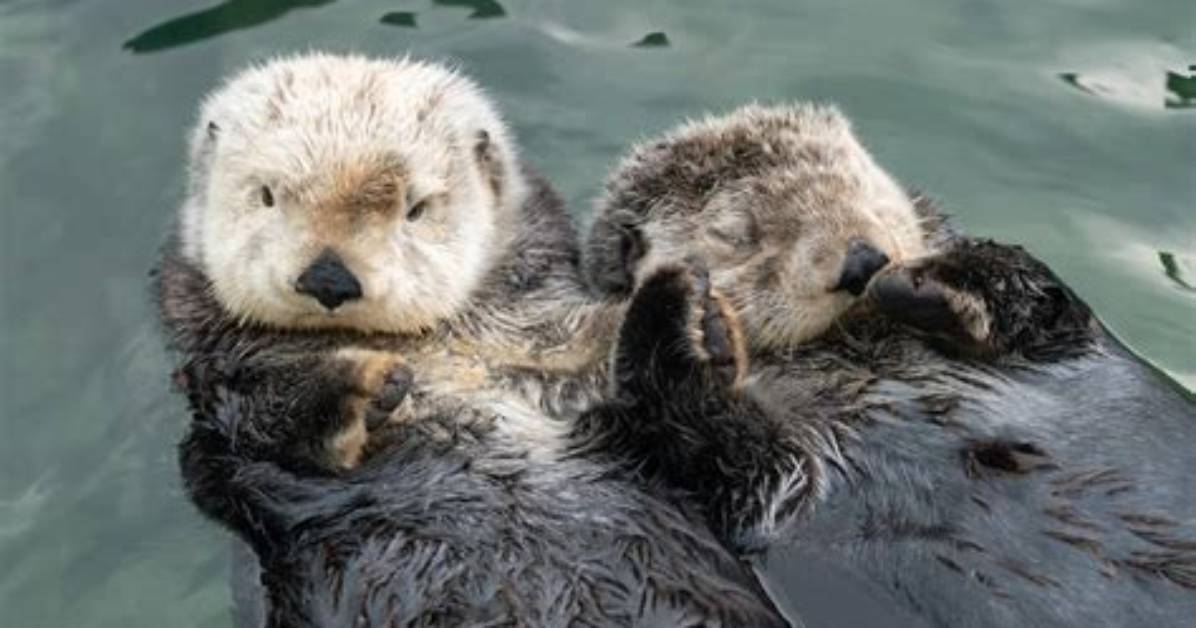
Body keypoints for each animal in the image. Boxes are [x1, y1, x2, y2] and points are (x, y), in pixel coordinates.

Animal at [157, 54, 784, 626]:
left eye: (416, 208)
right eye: (266, 195)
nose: (329, 278)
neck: (449, 353)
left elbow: (717, 449)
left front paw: (699, 327)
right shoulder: (222, 401)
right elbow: (255, 428)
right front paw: (362, 383)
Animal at [584, 104, 1196, 627]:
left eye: (858, 185)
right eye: (739, 235)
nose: (862, 261)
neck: (864, 353)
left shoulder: (1062, 341)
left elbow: (1044, 300)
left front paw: (924, 282)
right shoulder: (771, 486)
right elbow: (732, 461)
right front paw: (682, 316)